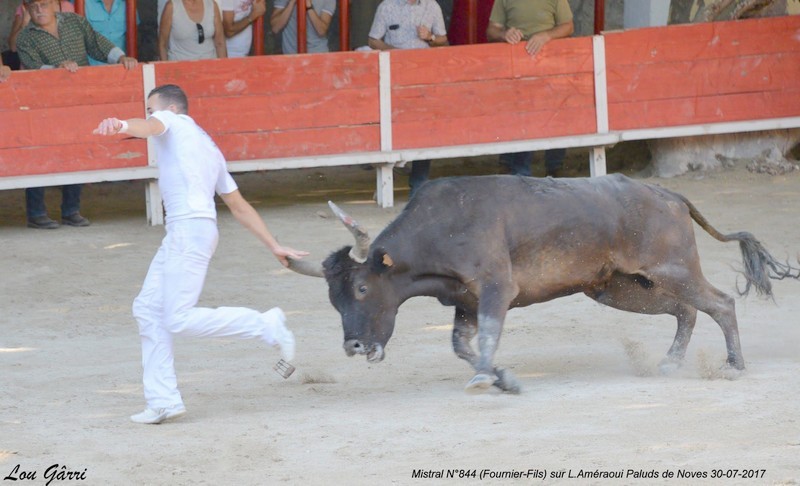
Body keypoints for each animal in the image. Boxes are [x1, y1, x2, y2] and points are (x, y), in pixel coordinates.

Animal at [286, 175, 792, 394]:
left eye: (362, 290)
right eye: (332, 301)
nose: (353, 346)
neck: (441, 227)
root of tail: (668, 194)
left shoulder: (496, 289)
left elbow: (487, 336)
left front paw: (486, 377)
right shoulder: (465, 302)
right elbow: (462, 343)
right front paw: (501, 377)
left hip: (674, 269)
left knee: (720, 303)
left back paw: (734, 365)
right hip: (619, 287)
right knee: (685, 310)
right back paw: (668, 363)